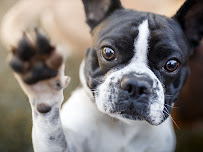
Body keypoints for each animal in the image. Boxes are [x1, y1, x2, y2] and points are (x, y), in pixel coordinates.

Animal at [6, 0, 203, 152]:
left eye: (172, 64)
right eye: (108, 52)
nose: (136, 84)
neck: (122, 127)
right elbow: (51, 130)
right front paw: (43, 83)